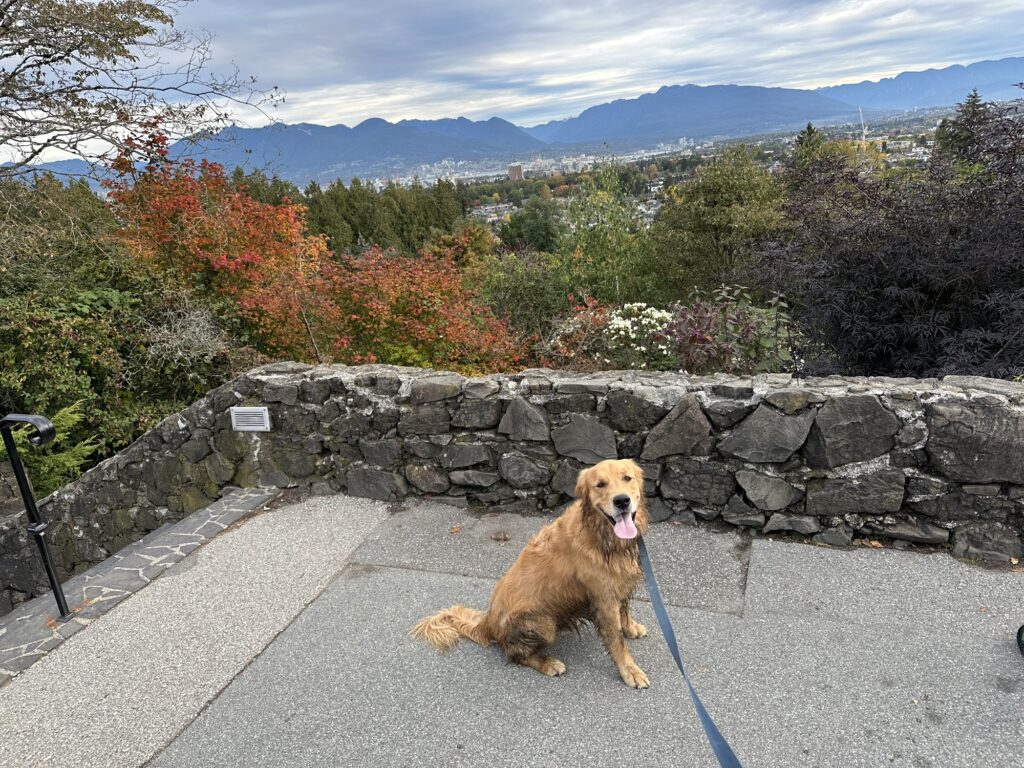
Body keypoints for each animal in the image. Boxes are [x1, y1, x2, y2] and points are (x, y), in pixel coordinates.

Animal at [411, 460, 651, 688]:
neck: (601, 534)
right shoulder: (604, 600)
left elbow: (625, 611)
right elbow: (616, 641)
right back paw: (547, 663)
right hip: (543, 623)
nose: (622, 501)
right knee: (515, 654)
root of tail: (487, 622)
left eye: (627, 478)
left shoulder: (621, 584)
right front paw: (630, 671)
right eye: (600, 484)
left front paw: (631, 628)